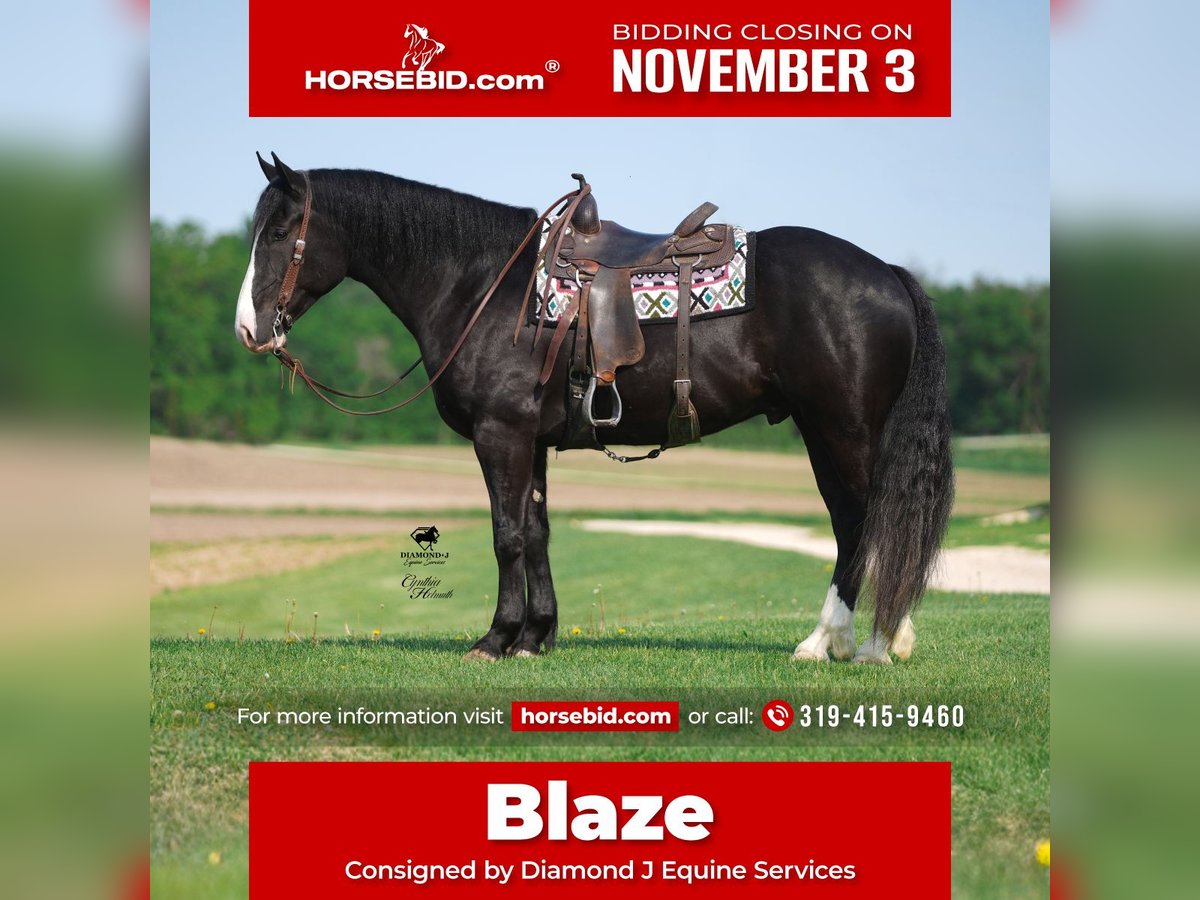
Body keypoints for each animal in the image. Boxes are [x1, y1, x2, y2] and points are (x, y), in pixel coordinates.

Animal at [233, 153, 954, 664]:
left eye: (280, 230)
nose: (248, 329)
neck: (481, 284)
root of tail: (887, 273)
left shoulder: (500, 435)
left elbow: (506, 535)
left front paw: (495, 640)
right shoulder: (532, 442)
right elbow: (538, 533)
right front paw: (535, 637)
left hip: (841, 429)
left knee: (862, 522)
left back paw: (853, 642)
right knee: (856, 524)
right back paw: (864, 639)